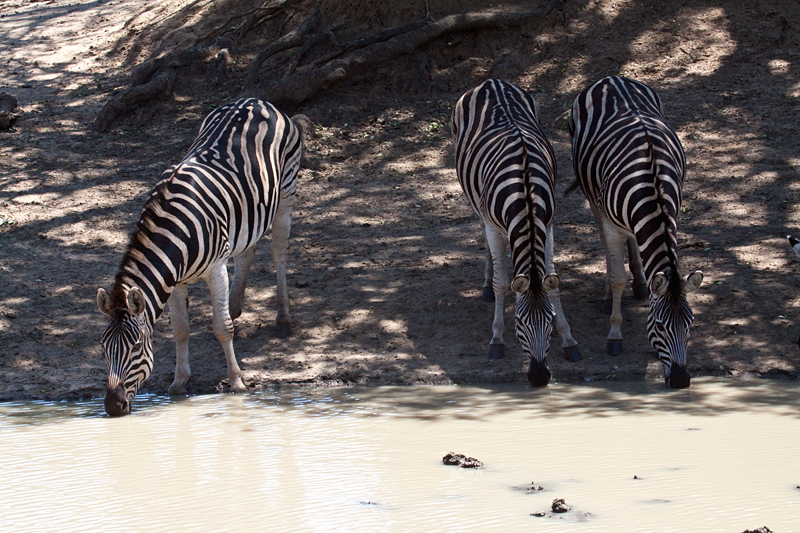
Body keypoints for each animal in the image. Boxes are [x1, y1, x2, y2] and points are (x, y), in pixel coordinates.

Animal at [95, 98, 302, 416]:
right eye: (104, 348)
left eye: (136, 346)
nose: (113, 407)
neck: (174, 233)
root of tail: (256, 100)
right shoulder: (175, 281)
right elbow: (181, 330)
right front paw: (179, 383)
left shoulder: (216, 268)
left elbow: (221, 327)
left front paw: (236, 382)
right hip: (247, 213)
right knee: (247, 251)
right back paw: (235, 306)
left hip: (285, 194)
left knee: (278, 250)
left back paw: (283, 318)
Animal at [450, 79, 580, 384]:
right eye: (520, 322)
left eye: (549, 320)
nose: (540, 376)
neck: (526, 191)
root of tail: (491, 82)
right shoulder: (494, 226)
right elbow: (501, 282)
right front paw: (497, 339)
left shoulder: (548, 223)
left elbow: (553, 283)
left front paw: (568, 340)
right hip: (476, 201)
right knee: (486, 243)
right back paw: (486, 284)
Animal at [568, 76, 700, 386]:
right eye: (661, 326)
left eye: (690, 323)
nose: (680, 381)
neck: (652, 183)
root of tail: (611, 78)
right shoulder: (611, 222)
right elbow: (618, 276)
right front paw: (615, 335)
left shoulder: (670, 214)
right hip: (594, 198)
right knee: (605, 241)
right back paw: (608, 295)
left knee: (633, 241)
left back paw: (640, 282)